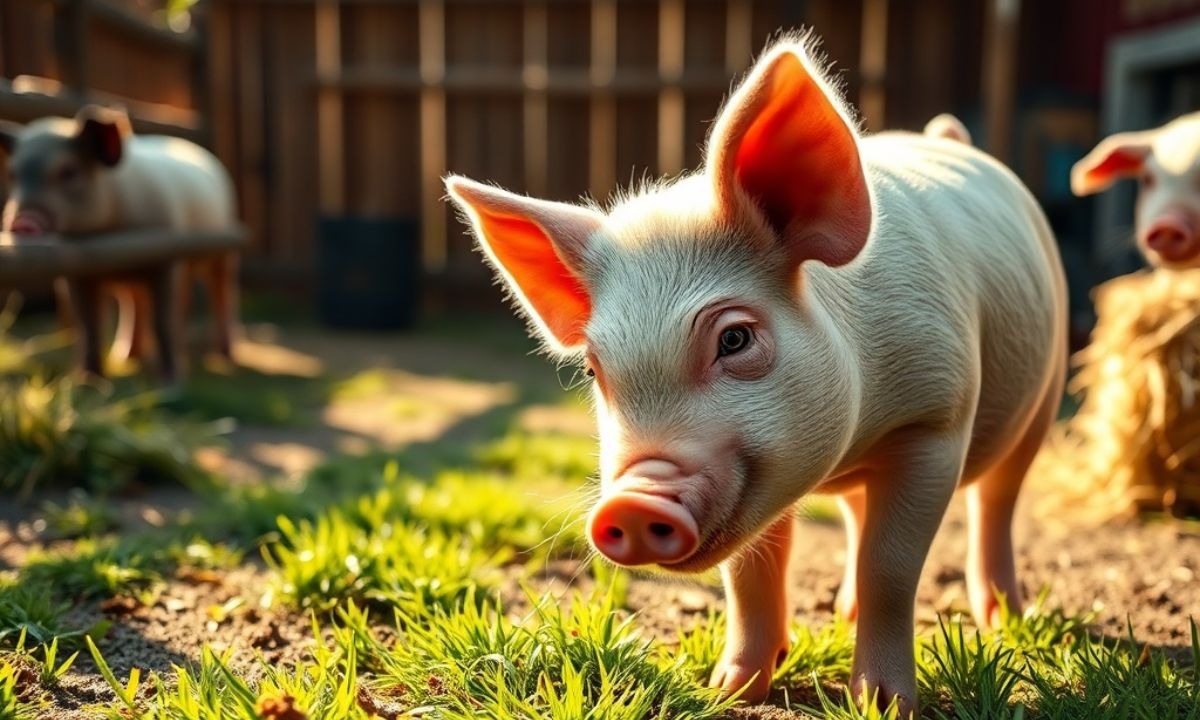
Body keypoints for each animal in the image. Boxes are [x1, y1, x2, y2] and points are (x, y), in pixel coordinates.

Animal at [0, 105, 239, 379]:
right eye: (13, 174)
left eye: (68, 171)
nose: (22, 222)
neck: (113, 226)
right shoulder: (80, 274)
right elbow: (89, 324)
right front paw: (87, 379)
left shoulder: (166, 256)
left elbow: (163, 320)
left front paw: (171, 381)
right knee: (141, 304)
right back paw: (127, 357)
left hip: (223, 249)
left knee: (219, 293)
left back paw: (224, 357)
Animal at [446, 37, 1065, 714]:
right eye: (593, 367)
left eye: (735, 338)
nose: (633, 501)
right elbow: (749, 574)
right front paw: (728, 692)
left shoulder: (935, 419)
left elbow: (892, 566)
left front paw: (882, 706)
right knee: (859, 513)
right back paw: (844, 612)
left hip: (1050, 381)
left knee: (998, 499)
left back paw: (1007, 617)